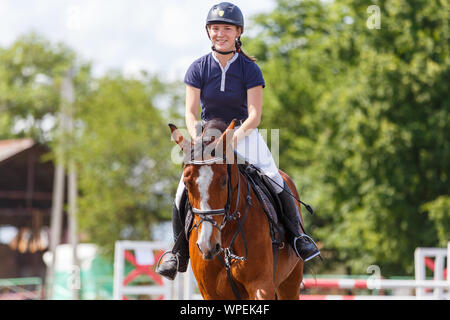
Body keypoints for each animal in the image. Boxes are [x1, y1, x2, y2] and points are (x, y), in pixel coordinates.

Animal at [171, 119, 304, 300]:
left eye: (224, 180)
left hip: (290, 282)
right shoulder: (209, 292)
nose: (207, 245)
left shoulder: (261, 285)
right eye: (186, 182)